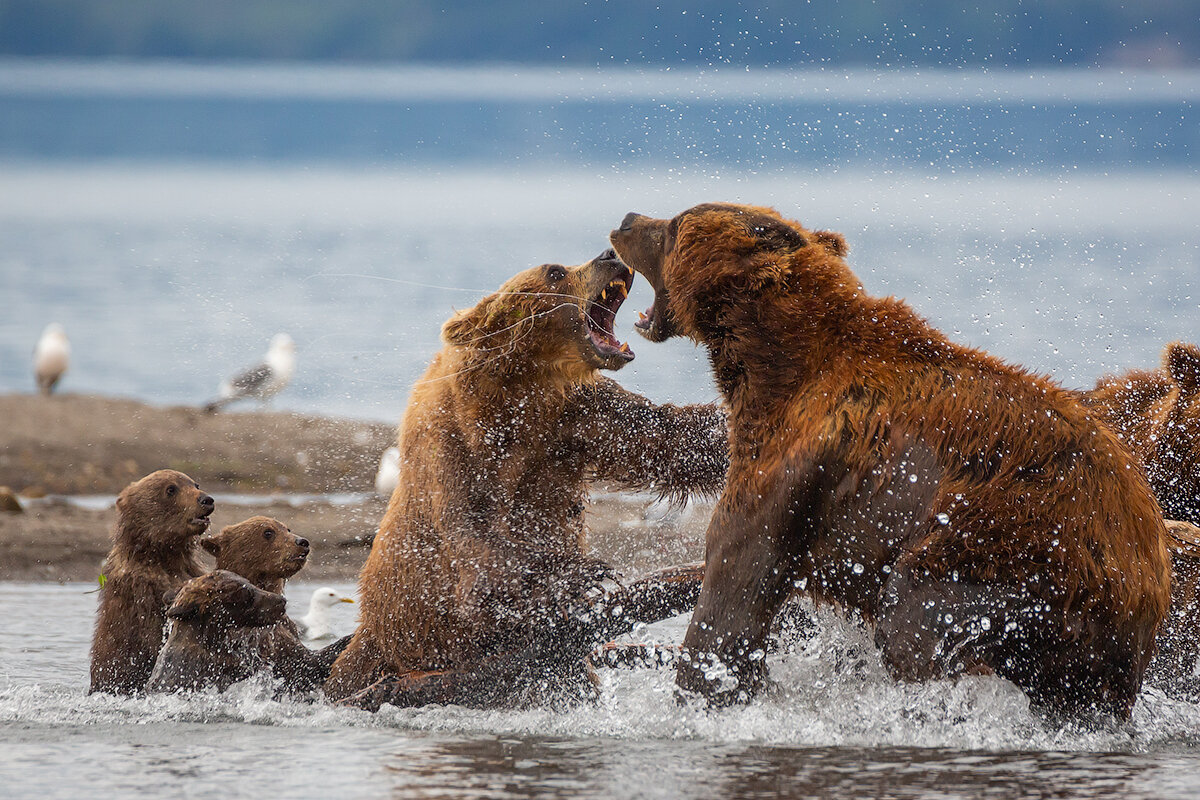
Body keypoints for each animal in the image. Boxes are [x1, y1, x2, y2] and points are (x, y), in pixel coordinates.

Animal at [88, 470, 213, 695]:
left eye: (195, 484)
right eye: (171, 489)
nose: (206, 500)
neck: (161, 555)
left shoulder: (190, 571)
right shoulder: (141, 594)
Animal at [324, 250, 724, 705]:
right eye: (556, 272)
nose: (609, 255)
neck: (519, 389)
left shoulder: (578, 416)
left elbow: (670, 438)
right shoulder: (450, 447)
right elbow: (475, 545)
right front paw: (582, 571)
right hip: (393, 646)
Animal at [609, 203, 1171, 724]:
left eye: (675, 225)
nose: (627, 219)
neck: (771, 362)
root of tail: (1148, 568)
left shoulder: (789, 461)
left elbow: (736, 579)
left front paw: (702, 692)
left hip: (1013, 547)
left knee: (912, 622)